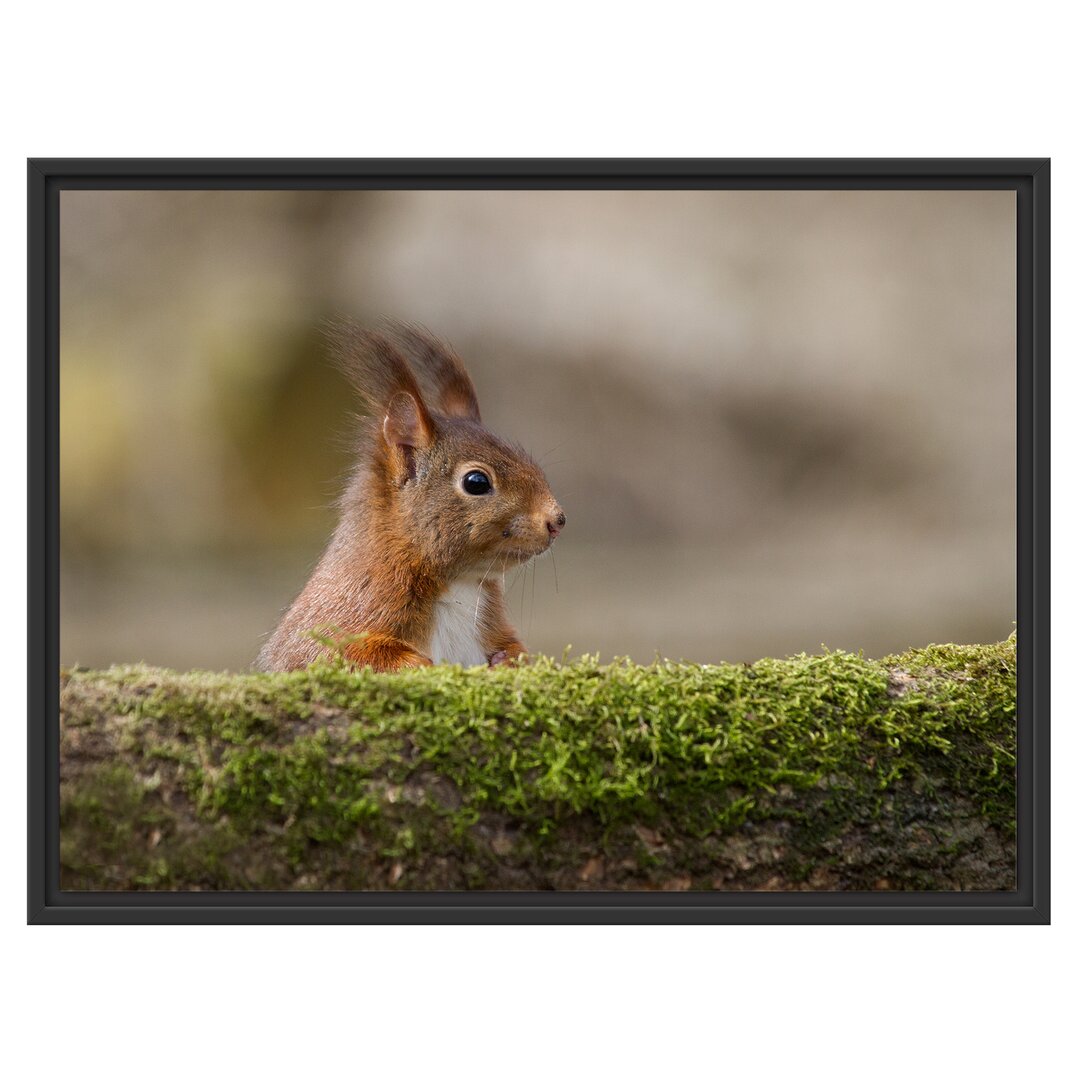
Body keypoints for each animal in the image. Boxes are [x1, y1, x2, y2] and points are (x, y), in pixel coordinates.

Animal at [257, 317, 570, 673]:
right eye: (476, 482)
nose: (557, 520)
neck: (460, 584)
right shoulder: (341, 620)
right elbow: (341, 654)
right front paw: (420, 664)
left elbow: (514, 649)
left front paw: (509, 660)